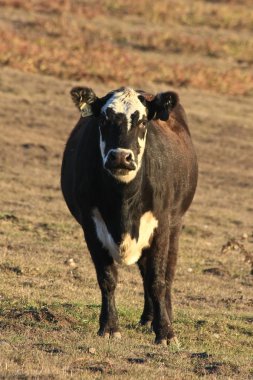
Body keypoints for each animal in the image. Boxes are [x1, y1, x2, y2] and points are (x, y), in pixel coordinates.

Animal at [60, 85, 198, 344]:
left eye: (142, 121)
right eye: (104, 119)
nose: (121, 157)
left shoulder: (161, 226)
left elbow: (157, 280)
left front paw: (165, 332)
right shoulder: (91, 226)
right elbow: (107, 278)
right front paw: (109, 326)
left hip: (176, 224)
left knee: (168, 274)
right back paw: (147, 318)